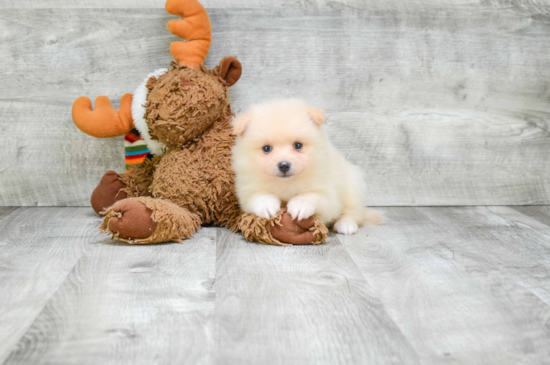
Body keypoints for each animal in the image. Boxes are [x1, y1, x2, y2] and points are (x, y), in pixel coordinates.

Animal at [231, 98, 382, 233]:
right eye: (266, 148)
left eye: (298, 145)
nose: (284, 165)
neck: (286, 184)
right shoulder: (247, 190)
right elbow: (259, 195)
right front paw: (267, 205)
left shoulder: (327, 194)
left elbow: (312, 195)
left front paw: (300, 205)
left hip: (353, 184)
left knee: (353, 211)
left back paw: (346, 225)